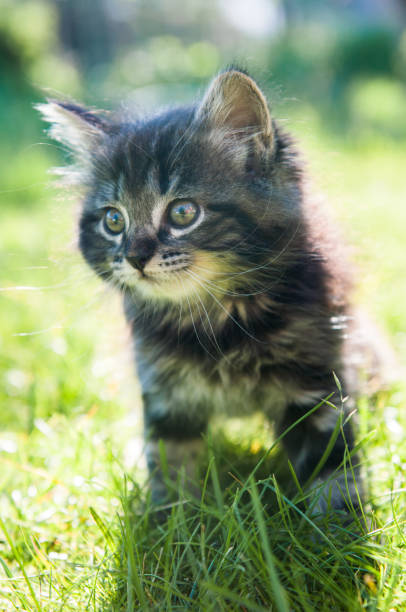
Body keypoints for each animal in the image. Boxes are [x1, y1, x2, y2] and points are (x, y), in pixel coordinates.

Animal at [38, 68, 368, 516]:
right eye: (113, 221)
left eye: (183, 213)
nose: (136, 256)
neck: (216, 321)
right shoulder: (165, 398)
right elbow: (171, 469)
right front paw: (172, 524)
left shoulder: (318, 384)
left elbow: (331, 466)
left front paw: (338, 526)